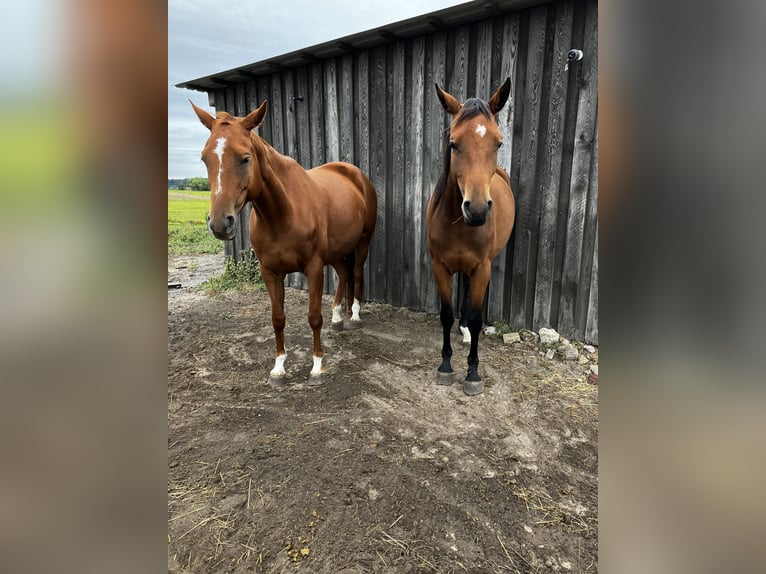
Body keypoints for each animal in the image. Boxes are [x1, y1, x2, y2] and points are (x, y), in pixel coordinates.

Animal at [192, 102, 378, 390]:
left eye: (245, 158)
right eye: (205, 159)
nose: (220, 224)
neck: (283, 214)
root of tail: (355, 174)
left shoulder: (313, 268)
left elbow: (314, 317)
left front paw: (317, 367)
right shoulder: (270, 272)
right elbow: (277, 319)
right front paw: (278, 368)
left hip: (363, 241)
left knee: (356, 273)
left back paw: (355, 316)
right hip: (337, 250)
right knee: (344, 273)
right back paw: (338, 317)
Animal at [428, 79, 520, 398]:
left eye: (499, 143)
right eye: (453, 143)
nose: (477, 210)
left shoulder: (481, 268)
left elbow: (479, 318)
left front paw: (472, 373)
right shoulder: (440, 267)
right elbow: (445, 314)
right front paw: (445, 366)